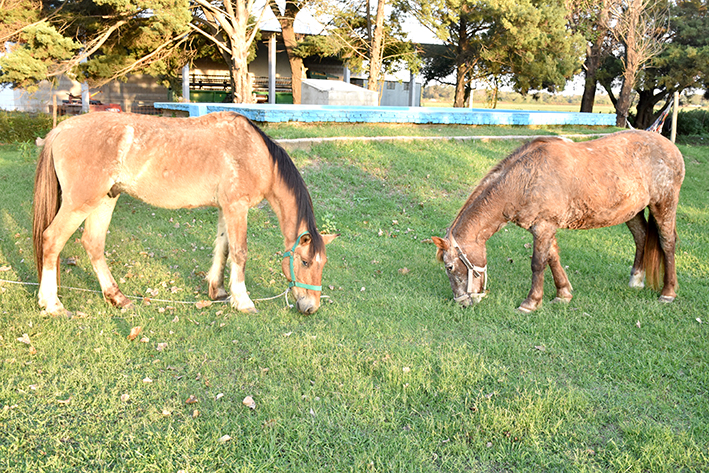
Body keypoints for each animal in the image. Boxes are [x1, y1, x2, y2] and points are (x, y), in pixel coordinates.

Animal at [34, 112, 338, 316]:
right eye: (305, 262)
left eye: (323, 264)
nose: (311, 307)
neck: (256, 155)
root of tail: (61, 129)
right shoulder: (237, 207)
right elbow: (239, 252)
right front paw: (243, 301)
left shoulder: (225, 208)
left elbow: (223, 249)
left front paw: (217, 290)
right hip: (81, 203)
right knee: (52, 240)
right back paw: (52, 304)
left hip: (106, 199)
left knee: (93, 244)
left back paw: (117, 298)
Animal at [432, 131, 684, 312]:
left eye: (449, 266)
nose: (463, 302)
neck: (526, 178)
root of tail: (670, 147)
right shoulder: (544, 227)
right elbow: (553, 258)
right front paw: (563, 294)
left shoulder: (543, 227)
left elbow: (537, 263)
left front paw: (531, 303)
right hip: (632, 212)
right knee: (641, 237)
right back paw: (636, 280)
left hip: (664, 204)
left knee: (667, 242)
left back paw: (668, 293)